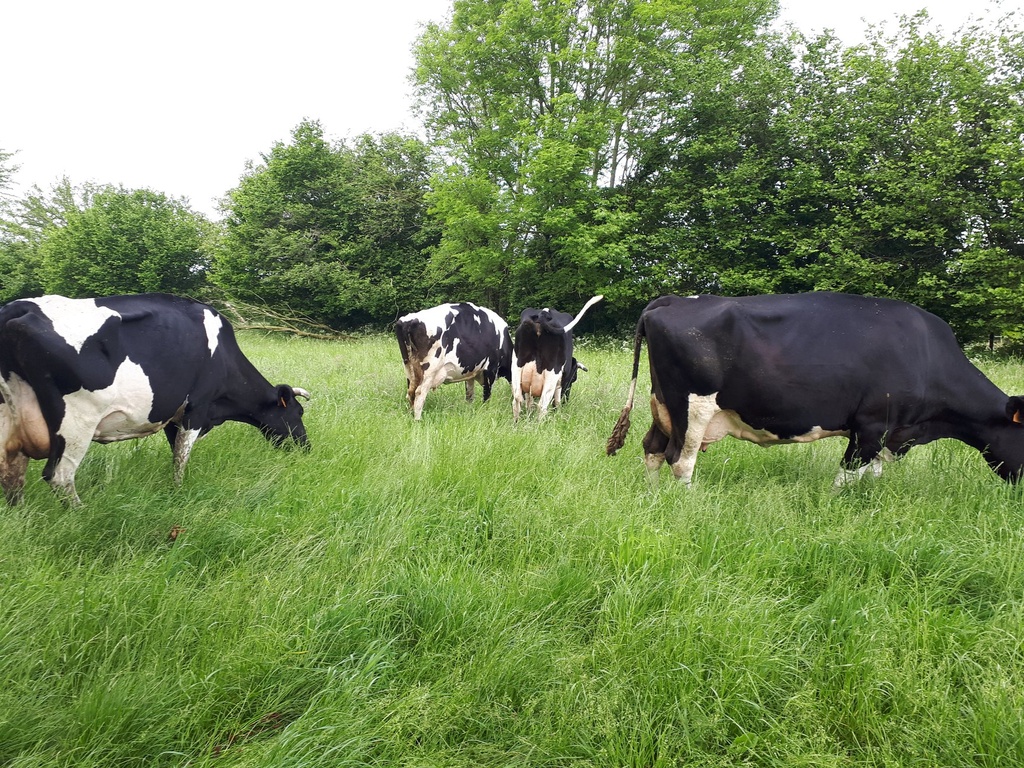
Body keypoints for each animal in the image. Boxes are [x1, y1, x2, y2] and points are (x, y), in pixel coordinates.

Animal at [1, 292, 311, 505]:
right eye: (298, 413)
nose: (306, 448)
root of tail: (18, 307)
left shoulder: (174, 416)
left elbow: (175, 451)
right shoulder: (197, 409)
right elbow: (182, 456)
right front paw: (179, 491)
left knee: (11, 472)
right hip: (76, 421)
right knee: (59, 475)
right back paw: (80, 513)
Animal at [602, 294, 1024, 487]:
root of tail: (671, 299)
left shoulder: (893, 434)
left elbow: (872, 475)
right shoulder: (872, 426)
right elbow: (847, 476)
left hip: (664, 406)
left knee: (653, 448)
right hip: (692, 408)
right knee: (680, 460)